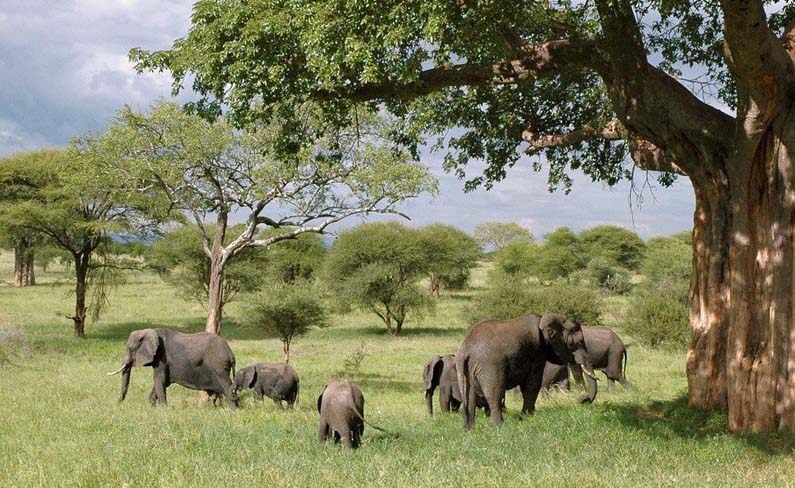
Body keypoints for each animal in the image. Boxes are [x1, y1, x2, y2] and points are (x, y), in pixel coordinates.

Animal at [107, 328, 241, 408]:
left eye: (130, 348)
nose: (118, 404)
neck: (149, 331)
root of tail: (231, 354)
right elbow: (162, 382)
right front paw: (151, 406)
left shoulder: (162, 357)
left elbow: (159, 379)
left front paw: (163, 408)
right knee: (214, 392)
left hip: (218, 366)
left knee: (226, 386)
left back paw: (234, 409)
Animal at [454, 314, 596, 428]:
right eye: (579, 343)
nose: (582, 399)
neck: (543, 319)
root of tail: (465, 349)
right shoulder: (537, 351)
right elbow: (532, 384)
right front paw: (527, 418)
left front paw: (525, 417)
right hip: (490, 367)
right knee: (495, 395)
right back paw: (500, 428)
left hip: (466, 370)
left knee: (470, 399)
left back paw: (469, 430)